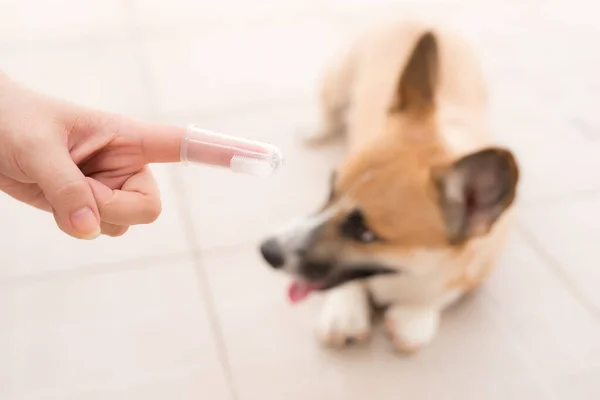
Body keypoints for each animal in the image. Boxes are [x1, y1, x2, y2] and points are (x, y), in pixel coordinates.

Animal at [260, 21, 516, 354]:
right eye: (330, 190)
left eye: (365, 234)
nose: (267, 251)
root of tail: (417, 17)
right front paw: (344, 315)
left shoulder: (477, 270)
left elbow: (441, 296)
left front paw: (413, 318)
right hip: (337, 78)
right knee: (329, 109)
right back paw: (315, 130)